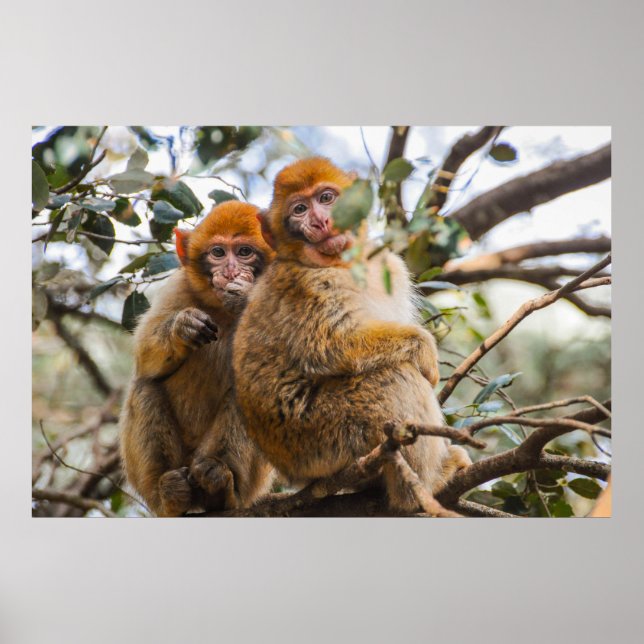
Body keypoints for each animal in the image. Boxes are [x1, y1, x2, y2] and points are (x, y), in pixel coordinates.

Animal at [120, 200, 276, 516]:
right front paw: (182, 327)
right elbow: (144, 358)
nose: (230, 271)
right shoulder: (180, 287)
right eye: (218, 252)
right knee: (145, 385)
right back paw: (170, 495)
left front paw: (245, 296)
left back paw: (219, 486)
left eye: (244, 252)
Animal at [232, 157, 470, 512]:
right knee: (393, 376)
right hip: (321, 437)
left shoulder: (390, 265)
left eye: (326, 198)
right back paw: (420, 490)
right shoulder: (307, 284)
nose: (319, 221)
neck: (344, 263)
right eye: (299, 209)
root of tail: (292, 473)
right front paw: (425, 351)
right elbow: (332, 345)